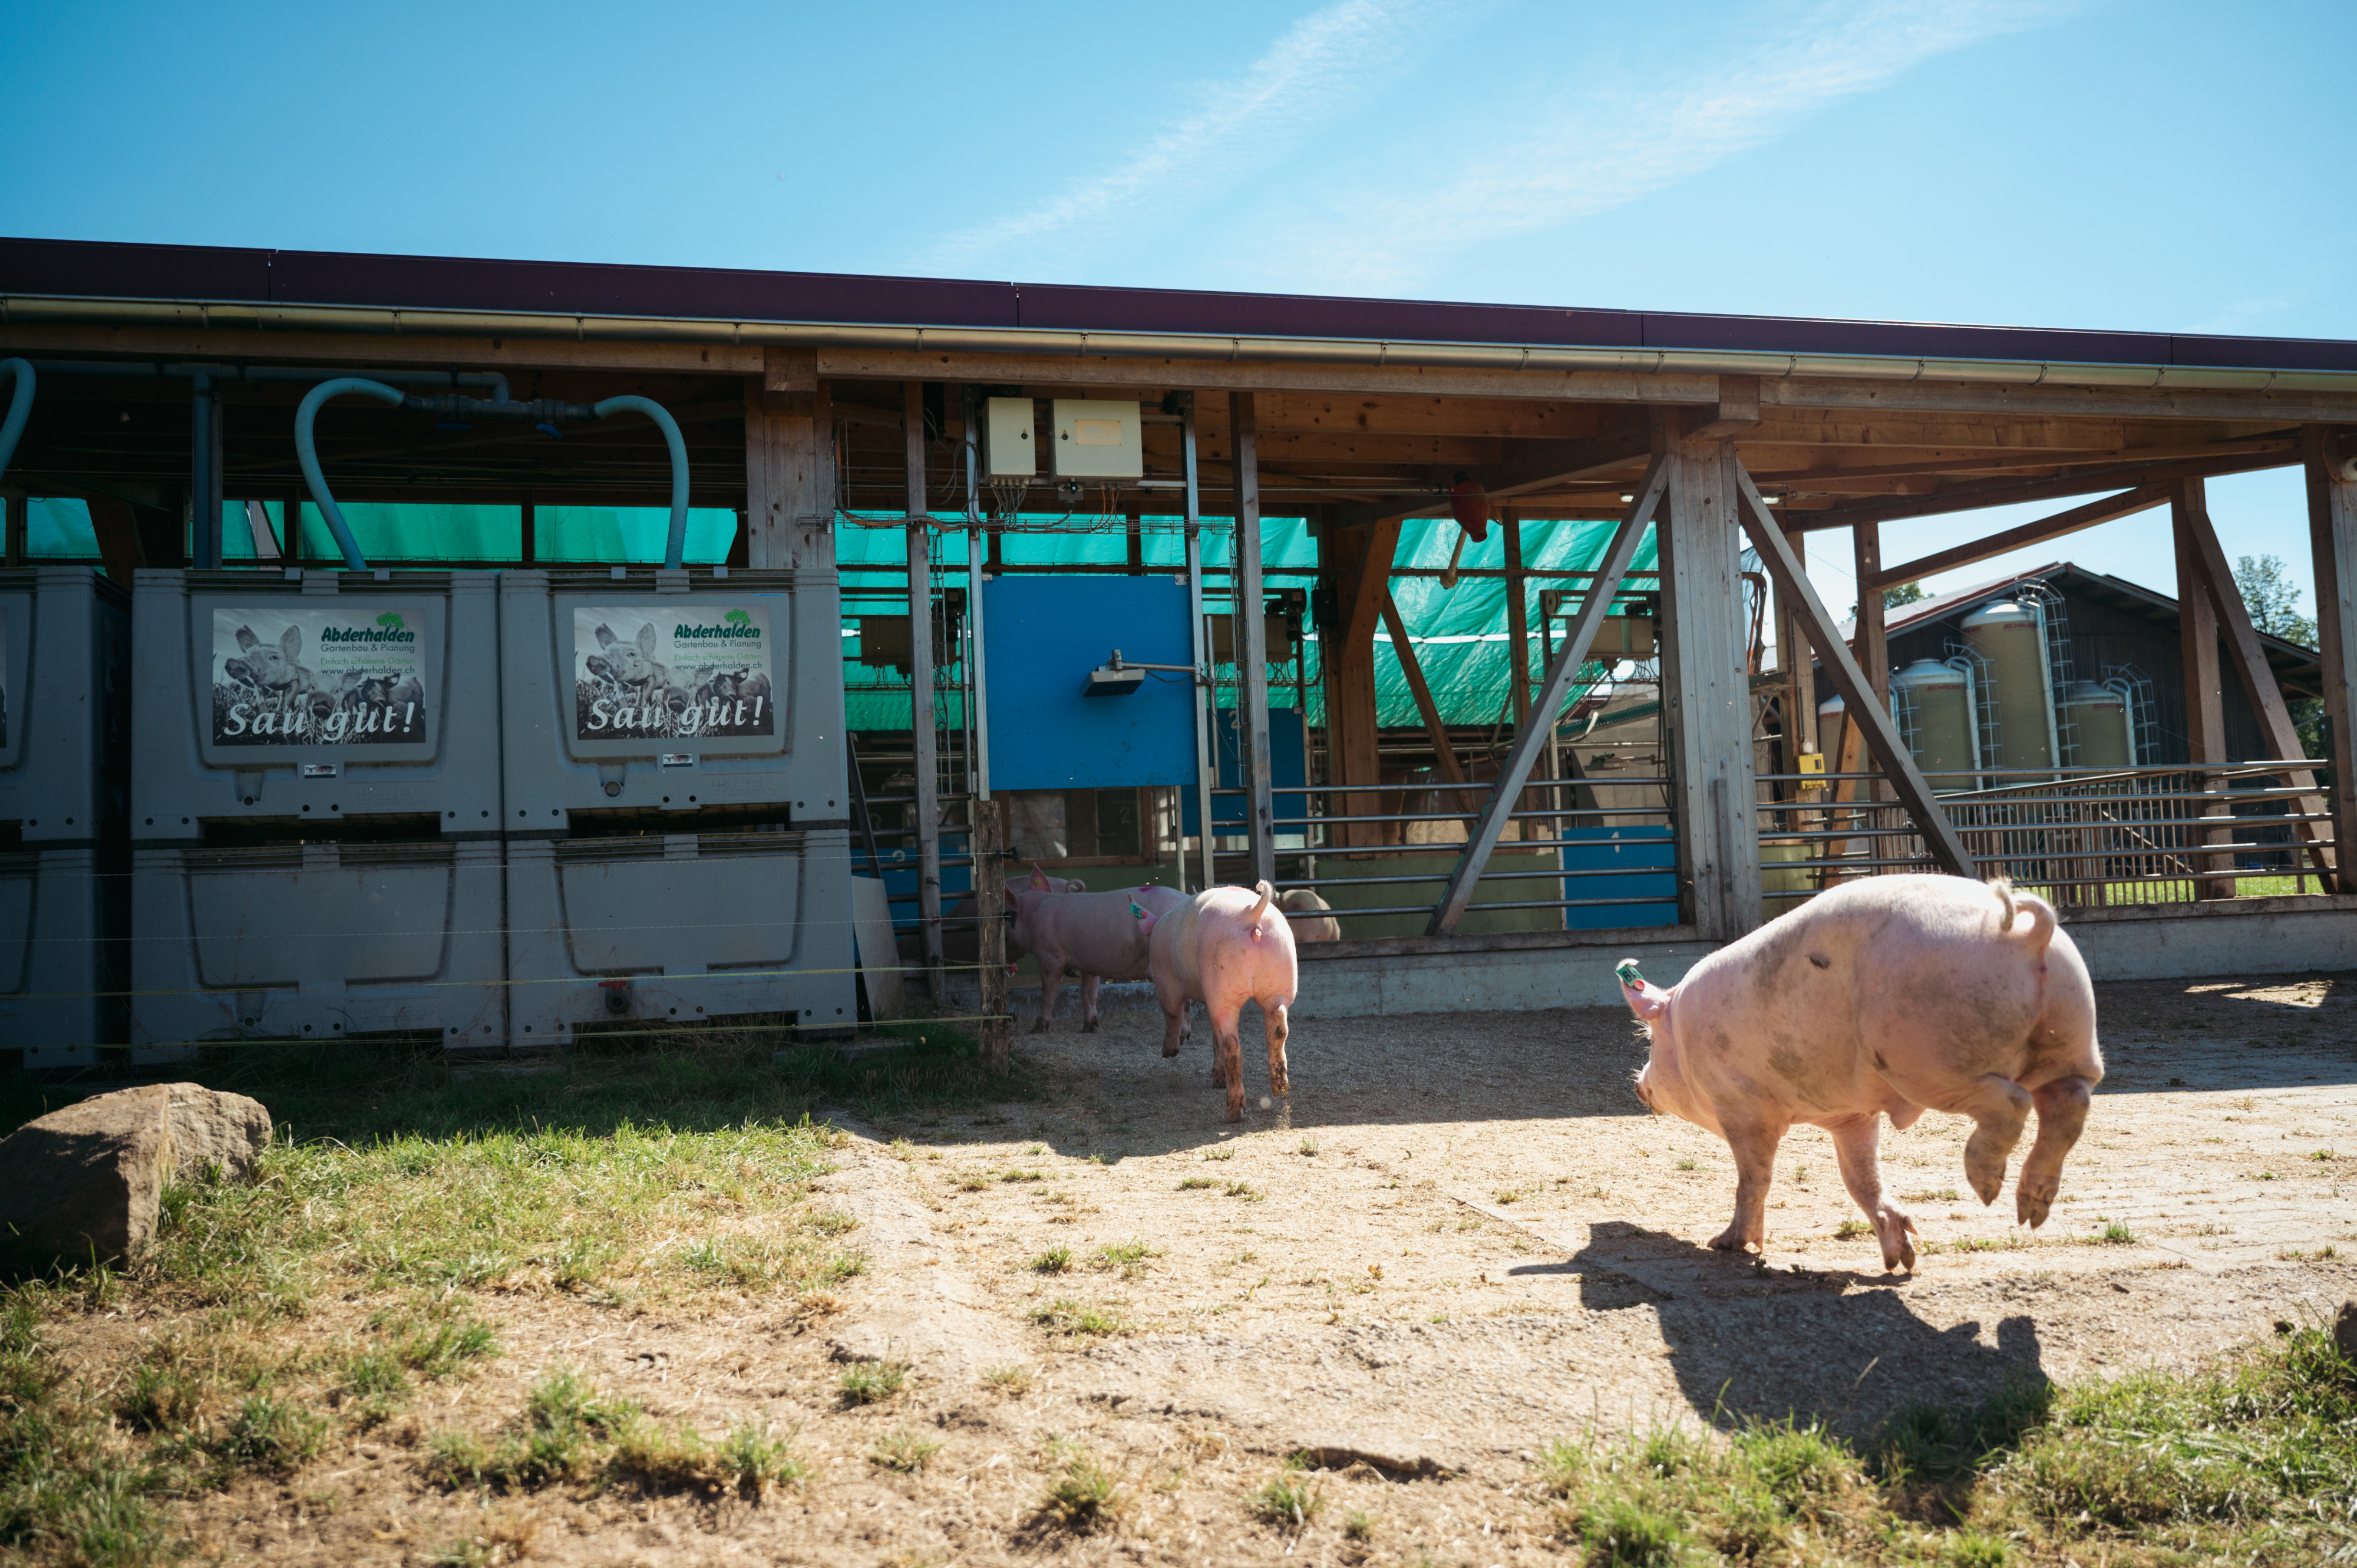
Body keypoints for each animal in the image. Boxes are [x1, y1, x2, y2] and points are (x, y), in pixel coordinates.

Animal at [1008, 870, 1188, 1032]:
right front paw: (1090, 1028)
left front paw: (1036, 1030)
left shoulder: (1050, 956)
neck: (1033, 916)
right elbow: (1089, 993)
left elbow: (1048, 993)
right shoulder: (1088, 963)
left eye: (1006, 917)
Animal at [1144, 880, 1299, 1122]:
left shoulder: (1166, 981)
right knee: (1278, 1027)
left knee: (1232, 1044)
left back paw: (1233, 1113)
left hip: (1222, 986)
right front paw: (1217, 1081)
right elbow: (1212, 1034)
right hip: (1281, 977)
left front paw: (1168, 1053)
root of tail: (1252, 912)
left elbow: (1173, 1014)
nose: (1146, 973)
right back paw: (1280, 1088)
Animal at [1618, 874, 2101, 1273]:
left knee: (2014, 1102)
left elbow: (1754, 1178)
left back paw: (1986, 1188)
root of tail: (2028, 934)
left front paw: (1725, 1244)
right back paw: (2030, 1211)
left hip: (1924, 1056)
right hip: (2072, 1024)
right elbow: (1861, 1179)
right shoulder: (1852, 1116)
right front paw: (1901, 1262)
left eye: (1650, 1040)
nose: (1639, 1085)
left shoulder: (1744, 1108)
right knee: (2070, 1101)